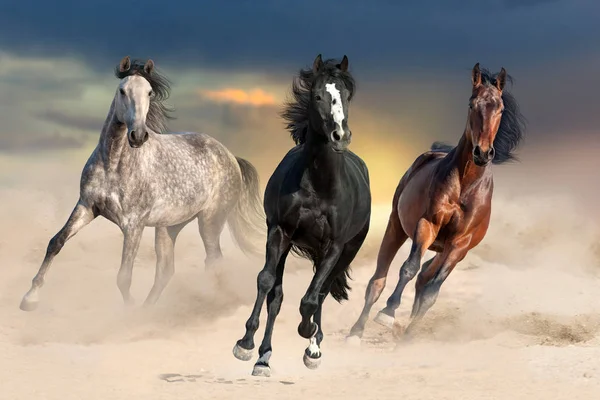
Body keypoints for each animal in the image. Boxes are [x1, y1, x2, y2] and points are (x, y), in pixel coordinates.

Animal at [19, 56, 264, 310]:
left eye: (149, 92)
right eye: (122, 90)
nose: (137, 135)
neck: (113, 164)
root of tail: (231, 157)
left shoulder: (133, 224)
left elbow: (124, 276)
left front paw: (129, 311)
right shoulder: (87, 207)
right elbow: (55, 242)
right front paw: (30, 298)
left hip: (209, 222)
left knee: (214, 261)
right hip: (169, 227)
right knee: (166, 270)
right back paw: (149, 311)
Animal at [233, 54, 370, 376]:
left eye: (347, 95)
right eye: (318, 95)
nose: (340, 136)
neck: (318, 187)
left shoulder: (334, 246)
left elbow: (311, 299)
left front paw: (309, 337)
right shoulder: (279, 232)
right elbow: (267, 282)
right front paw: (246, 345)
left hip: (346, 250)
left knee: (320, 293)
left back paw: (313, 348)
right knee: (277, 296)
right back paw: (264, 357)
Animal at [346, 61, 524, 340]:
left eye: (501, 108)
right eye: (471, 104)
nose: (482, 153)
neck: (465, 185)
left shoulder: (460, 244)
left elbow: (432, 291)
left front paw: (408, 336)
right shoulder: (427, 224)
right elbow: (409, 267)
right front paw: (388, 313)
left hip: (445, 251)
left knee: (424, 278)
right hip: (396, 226)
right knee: (379, 279)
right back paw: (356, 333)